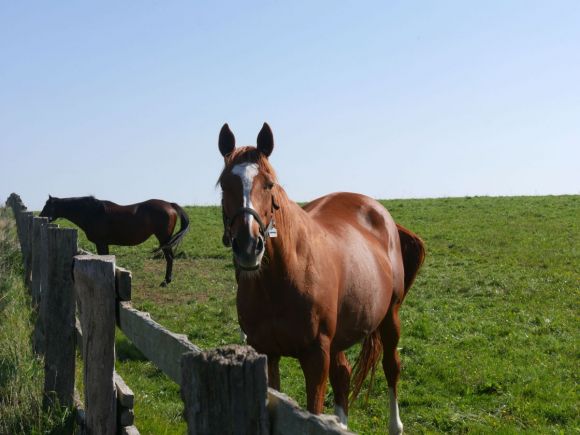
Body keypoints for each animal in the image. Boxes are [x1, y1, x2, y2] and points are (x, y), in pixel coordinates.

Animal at [40, 197, 190, 286]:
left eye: (47, 206)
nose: (41, 217)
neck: (92, 213)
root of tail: (169, 205)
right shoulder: (104, 244)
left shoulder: (101, 243)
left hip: (164, 238)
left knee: (169, 258)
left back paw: (166, 281)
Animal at [218, 122, 426, 432]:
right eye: (224, 184)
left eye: (269, 184)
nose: (248, 245)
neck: (280, 281)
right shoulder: (266, 352)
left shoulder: (316, 356)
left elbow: (313, 413)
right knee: (343, 375)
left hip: (390, 316)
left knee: (392, 367)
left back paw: (395, 426)